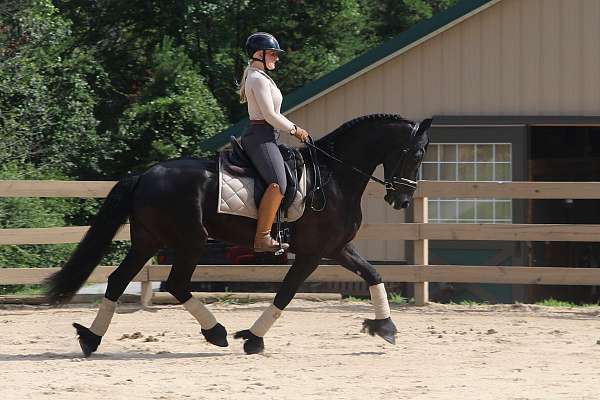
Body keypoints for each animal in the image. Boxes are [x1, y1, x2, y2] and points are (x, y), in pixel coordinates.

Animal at [47, 114, 432, 354]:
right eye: (415, 154)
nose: (401, 199)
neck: (334, 176)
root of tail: (144, 175)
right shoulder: (312, 253)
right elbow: (286, 294)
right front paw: (253, 339)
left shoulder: (337, 248)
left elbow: (374, 274)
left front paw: (385, 328)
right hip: (191, 241)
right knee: (175, 283)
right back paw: (215, 332)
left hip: (148, 241)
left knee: (118, 280)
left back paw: (91, 339)